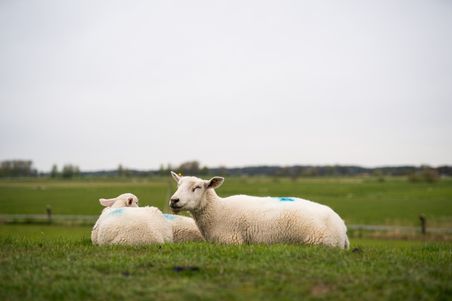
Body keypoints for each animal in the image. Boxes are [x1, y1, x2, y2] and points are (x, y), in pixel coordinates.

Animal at [170, 171, 350, 248]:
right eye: (178, 185)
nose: (174, 200)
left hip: (319, 242)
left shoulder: (231, 241)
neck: (218, 210)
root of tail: (342, 228)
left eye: (198, 187)